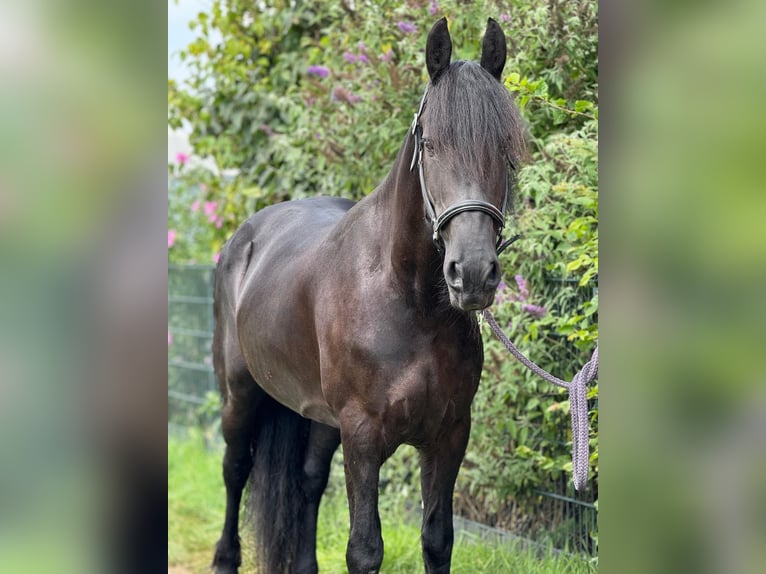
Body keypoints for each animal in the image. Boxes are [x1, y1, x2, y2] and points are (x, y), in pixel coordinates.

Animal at [213, 18, 528, 574]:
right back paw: (225, 559)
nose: (472, 274)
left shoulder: (449, 436)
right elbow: (364, 549)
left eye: (505, 148)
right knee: (234, 471)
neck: (412, 304)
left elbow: (437, 540)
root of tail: (244, 237)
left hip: (317, 415)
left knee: (308, 481)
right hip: (240, 395)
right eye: (430, 144)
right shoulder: (362, 435)